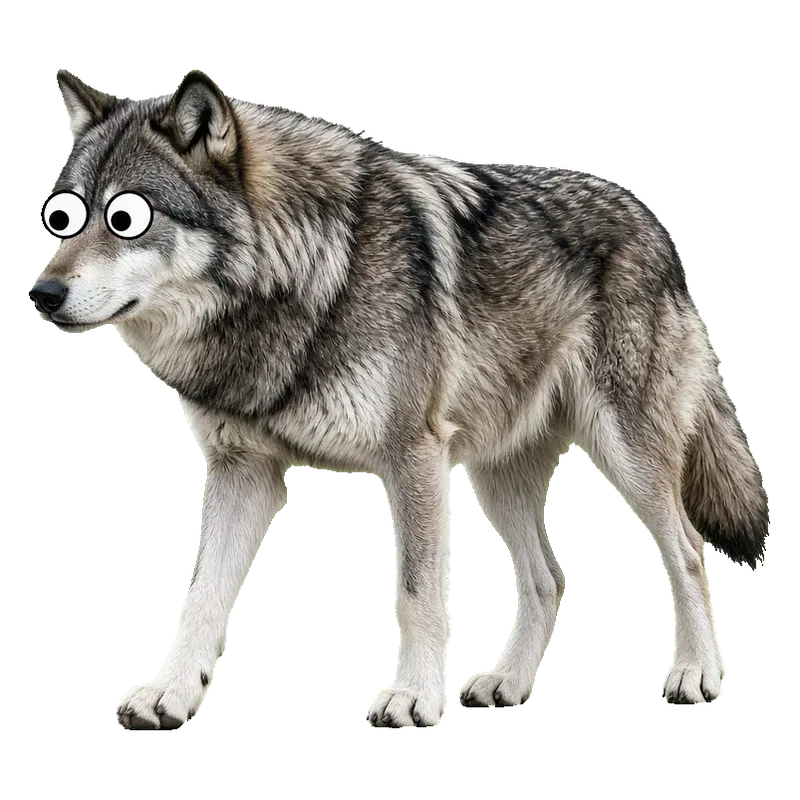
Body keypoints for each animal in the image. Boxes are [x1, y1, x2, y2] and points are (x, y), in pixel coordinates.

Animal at [36, 69, 768, 728]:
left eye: (126, 218)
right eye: (65, 216)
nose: (42, 292)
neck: (309, 276)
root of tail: (650, 218)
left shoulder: (413, 456)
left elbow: (417, 592)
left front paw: (413, 697)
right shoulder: (243, 471)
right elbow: (202, 597)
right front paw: (169, 693)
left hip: (626, 455)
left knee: (689, 552)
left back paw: (696, 674)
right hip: (495, 475)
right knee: (550, 578)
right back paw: (507, 683)